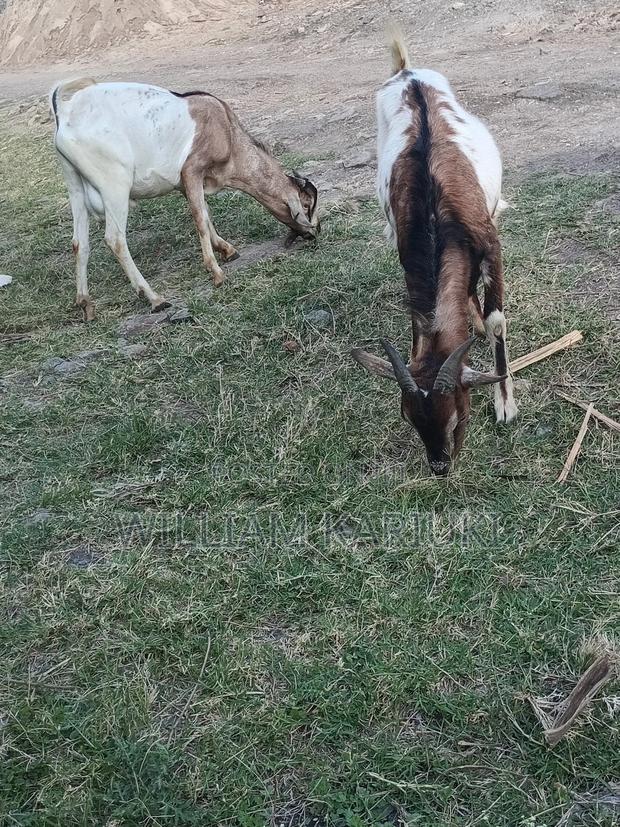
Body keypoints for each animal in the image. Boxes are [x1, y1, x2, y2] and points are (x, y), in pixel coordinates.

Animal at [50, 79, 320, 321]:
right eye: (306, 205)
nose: (314, 233)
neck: (227, 130)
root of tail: (65, 115)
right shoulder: (192, 169)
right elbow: (200, 219)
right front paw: (216, 272)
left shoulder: (187, 183)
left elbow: (205, 213)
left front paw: (228, 249)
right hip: (114, 185)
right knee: (115, 239)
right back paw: (154, 298)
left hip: (74, 184)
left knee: (79, 243)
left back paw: (85, 304)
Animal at [352, 31, 518, 476]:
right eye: (408, 417)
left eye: (459, 415)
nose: (440, 466)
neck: (436, 216)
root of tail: (406, 71)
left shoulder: (491, 244)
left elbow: (497, 321)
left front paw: (506, 403)